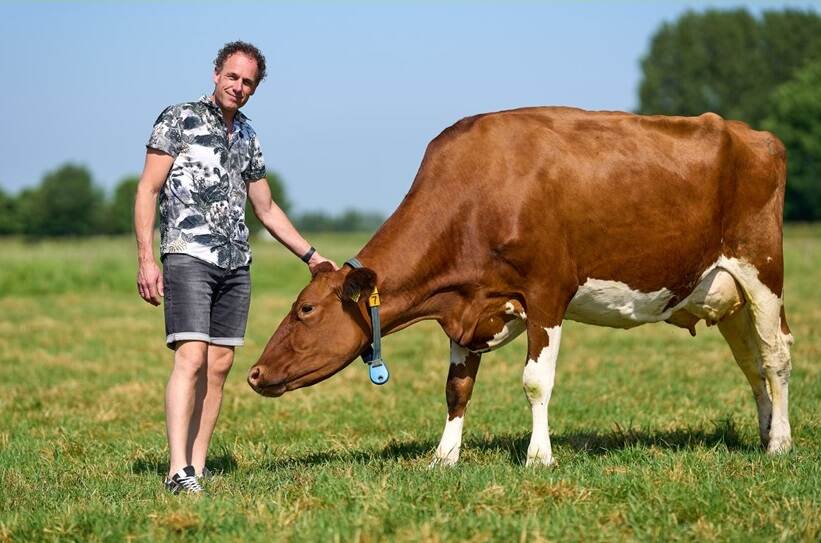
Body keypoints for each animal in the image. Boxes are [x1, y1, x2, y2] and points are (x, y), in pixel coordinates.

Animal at [247, 107, 792, 468]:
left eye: (305, 309)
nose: (254, 373)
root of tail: (756, 135)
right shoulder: (468, 309)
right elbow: (456, 388)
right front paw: (444, 457)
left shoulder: (548, 292)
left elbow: (536, 381)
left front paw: (539, 457)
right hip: (725, 294)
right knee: (750, 365)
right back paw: (764, 434)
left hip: (763, 270)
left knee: (775, 356)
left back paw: (781, 443)